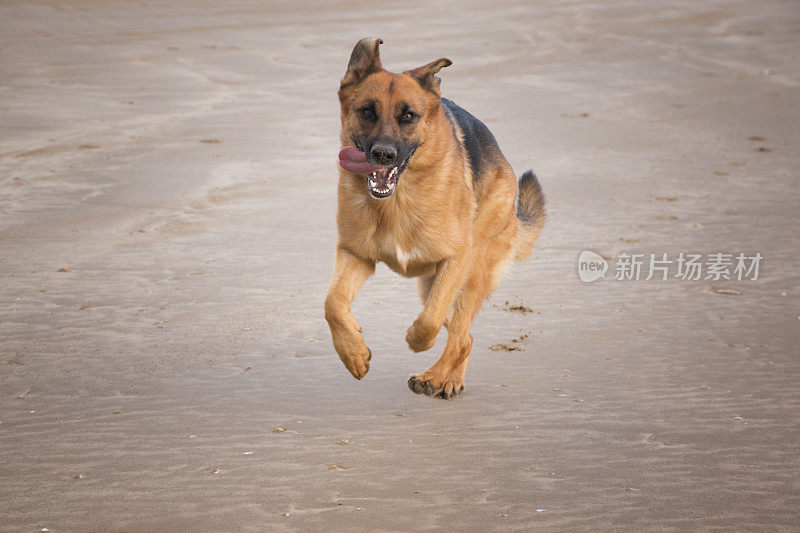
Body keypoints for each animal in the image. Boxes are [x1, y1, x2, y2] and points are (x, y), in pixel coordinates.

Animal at [324, 37, 544, 396]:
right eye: (367, 112)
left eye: (408, 116)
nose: (382, 154)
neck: (396, 202)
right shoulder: (355, 255)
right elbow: (332, 304)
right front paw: (353, 353)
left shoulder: (456, 260)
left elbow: (428, 321)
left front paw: (415, 339)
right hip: (435, 283)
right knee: (464, 334)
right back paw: (450, 377)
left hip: (470, 275)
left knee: (458, 334)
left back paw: (437, 376)